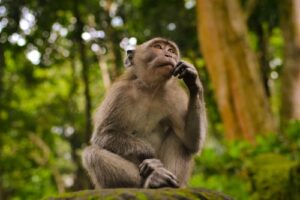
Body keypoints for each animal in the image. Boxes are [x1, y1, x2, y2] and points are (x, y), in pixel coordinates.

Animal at [83, 37, 207, 189]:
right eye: (158, 47)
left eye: (171, 50)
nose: (169, 55)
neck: (150, 89)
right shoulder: (120, 93)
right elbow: (103, 134)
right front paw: (150, 156)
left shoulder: (175, 96)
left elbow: (191, 141)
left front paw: (193, 80)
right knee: (92, 153)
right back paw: (151, 180)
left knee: (179, 139)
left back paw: (170, 183)